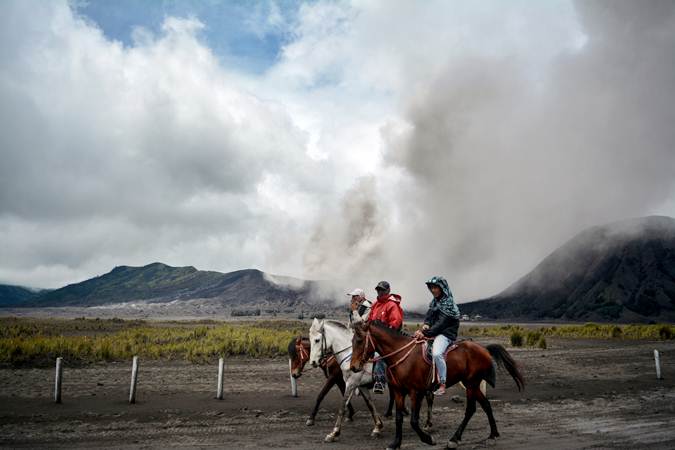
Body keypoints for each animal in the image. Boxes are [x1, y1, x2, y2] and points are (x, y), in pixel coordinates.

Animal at [352, 320, 524, 450]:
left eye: (360, 340)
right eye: (353, 341)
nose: (353, 366)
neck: (401, 356)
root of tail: (484, 349)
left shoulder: (416, 392)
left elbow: (414, 421)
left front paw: (428, 439)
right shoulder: (399, 391)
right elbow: (399, 418)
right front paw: (395, 443)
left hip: (471, 384)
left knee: (471, 409)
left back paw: (454, 439)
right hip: (473, 385)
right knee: (486, 405)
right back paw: (493, 434)